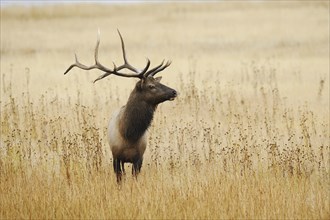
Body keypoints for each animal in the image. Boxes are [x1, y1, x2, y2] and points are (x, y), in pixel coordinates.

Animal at [64, 30, 178, 183]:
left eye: (157, 82)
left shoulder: (139, 158)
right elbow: (119, 179)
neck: (129, 134)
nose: (174, 91)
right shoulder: (116, 157)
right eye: (151, 86)